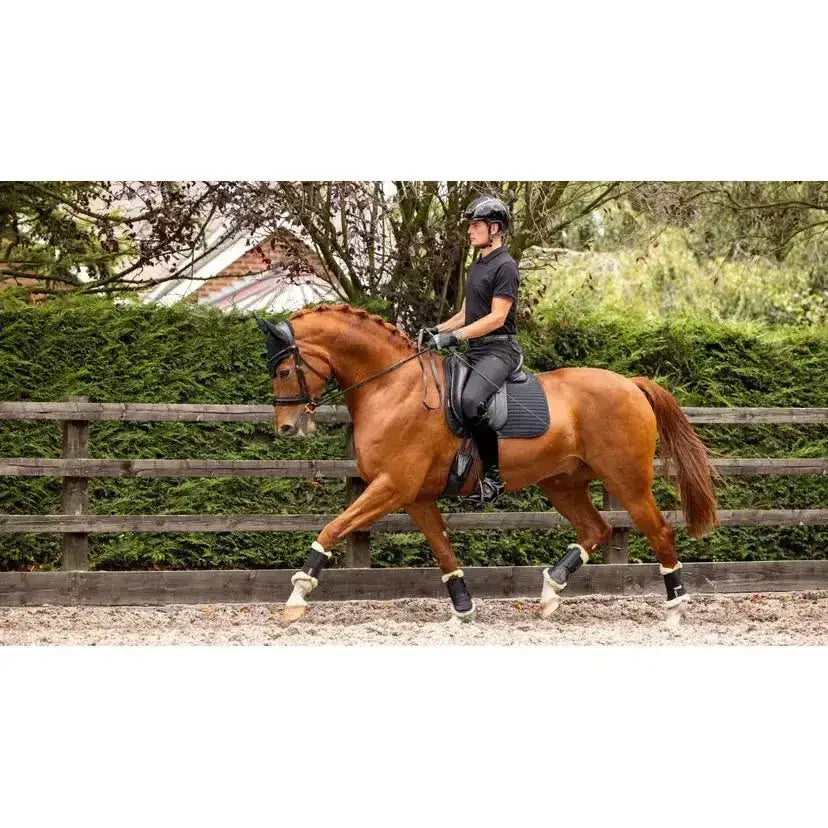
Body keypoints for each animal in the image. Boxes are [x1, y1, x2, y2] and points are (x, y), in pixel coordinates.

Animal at [256, 304, 718, 625]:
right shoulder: (414, 496)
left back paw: (675, 609)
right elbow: (443, 551)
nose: (286, 428)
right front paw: (463, 609)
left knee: (658, 532)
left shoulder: (391, 486)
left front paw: (297, 596)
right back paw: (551, 592)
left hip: (627, 481)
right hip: (562, 482)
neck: (393, 386)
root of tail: (630, 383)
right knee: (596, 530)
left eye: (284, 370)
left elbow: (333, 527)